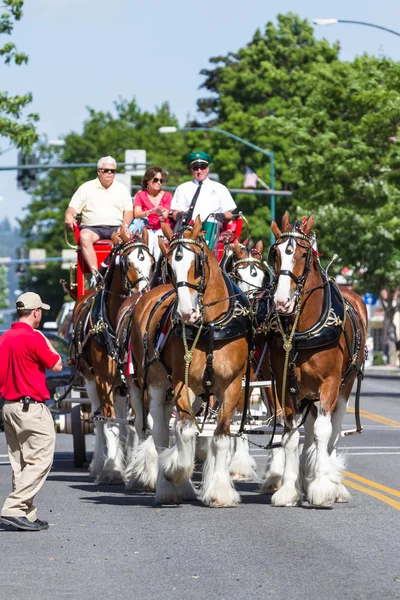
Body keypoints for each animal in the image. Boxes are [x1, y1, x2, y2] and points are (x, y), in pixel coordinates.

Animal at [264, 213, 368, 508]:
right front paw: (289, 488)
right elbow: (290, 435)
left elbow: (324, 432)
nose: (282, 301)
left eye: (302, 253)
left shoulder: (330, 383)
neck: (303, 330)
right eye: (275, 253)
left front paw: (322, 488)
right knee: (308, 431)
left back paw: (332, 482)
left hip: (344, 388)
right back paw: (304, 477)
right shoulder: (285, 384)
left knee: (333, 430)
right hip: (307, 393)